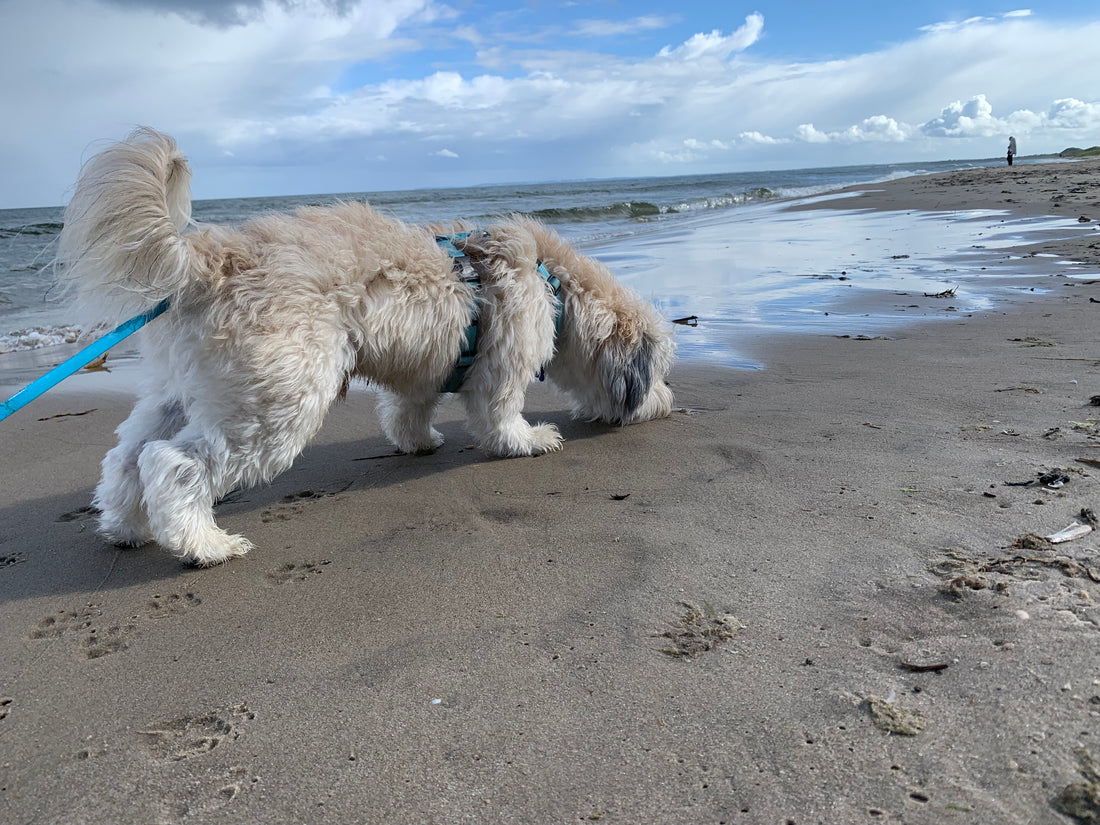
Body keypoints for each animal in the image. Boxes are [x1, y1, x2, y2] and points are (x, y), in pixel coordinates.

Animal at [60, 130, 673, 567]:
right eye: (662, 372)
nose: (670, 403)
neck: (555, 284)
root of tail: (209, 261)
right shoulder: (502, 362)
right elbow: (500, 415)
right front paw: (528, 441)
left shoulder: (429, 365)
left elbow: (408, 408)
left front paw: (418, 441)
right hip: (276, 404)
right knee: (173, 464)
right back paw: (204, 545)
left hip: (180, 392)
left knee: (127, 456)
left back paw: (125, 528)